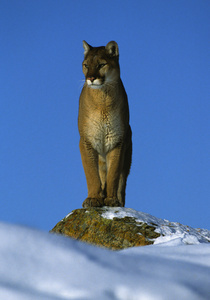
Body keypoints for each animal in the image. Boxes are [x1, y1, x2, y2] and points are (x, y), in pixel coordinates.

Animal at [78, 41, 132, 207]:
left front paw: (112, 199)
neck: (102, 101)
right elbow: (91, 173)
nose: (91, 78)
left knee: (121, 181)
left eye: (101, 64)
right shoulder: (86, 140)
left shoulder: (117, 141)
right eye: (86, 65)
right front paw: (93, 198)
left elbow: (113, 174)